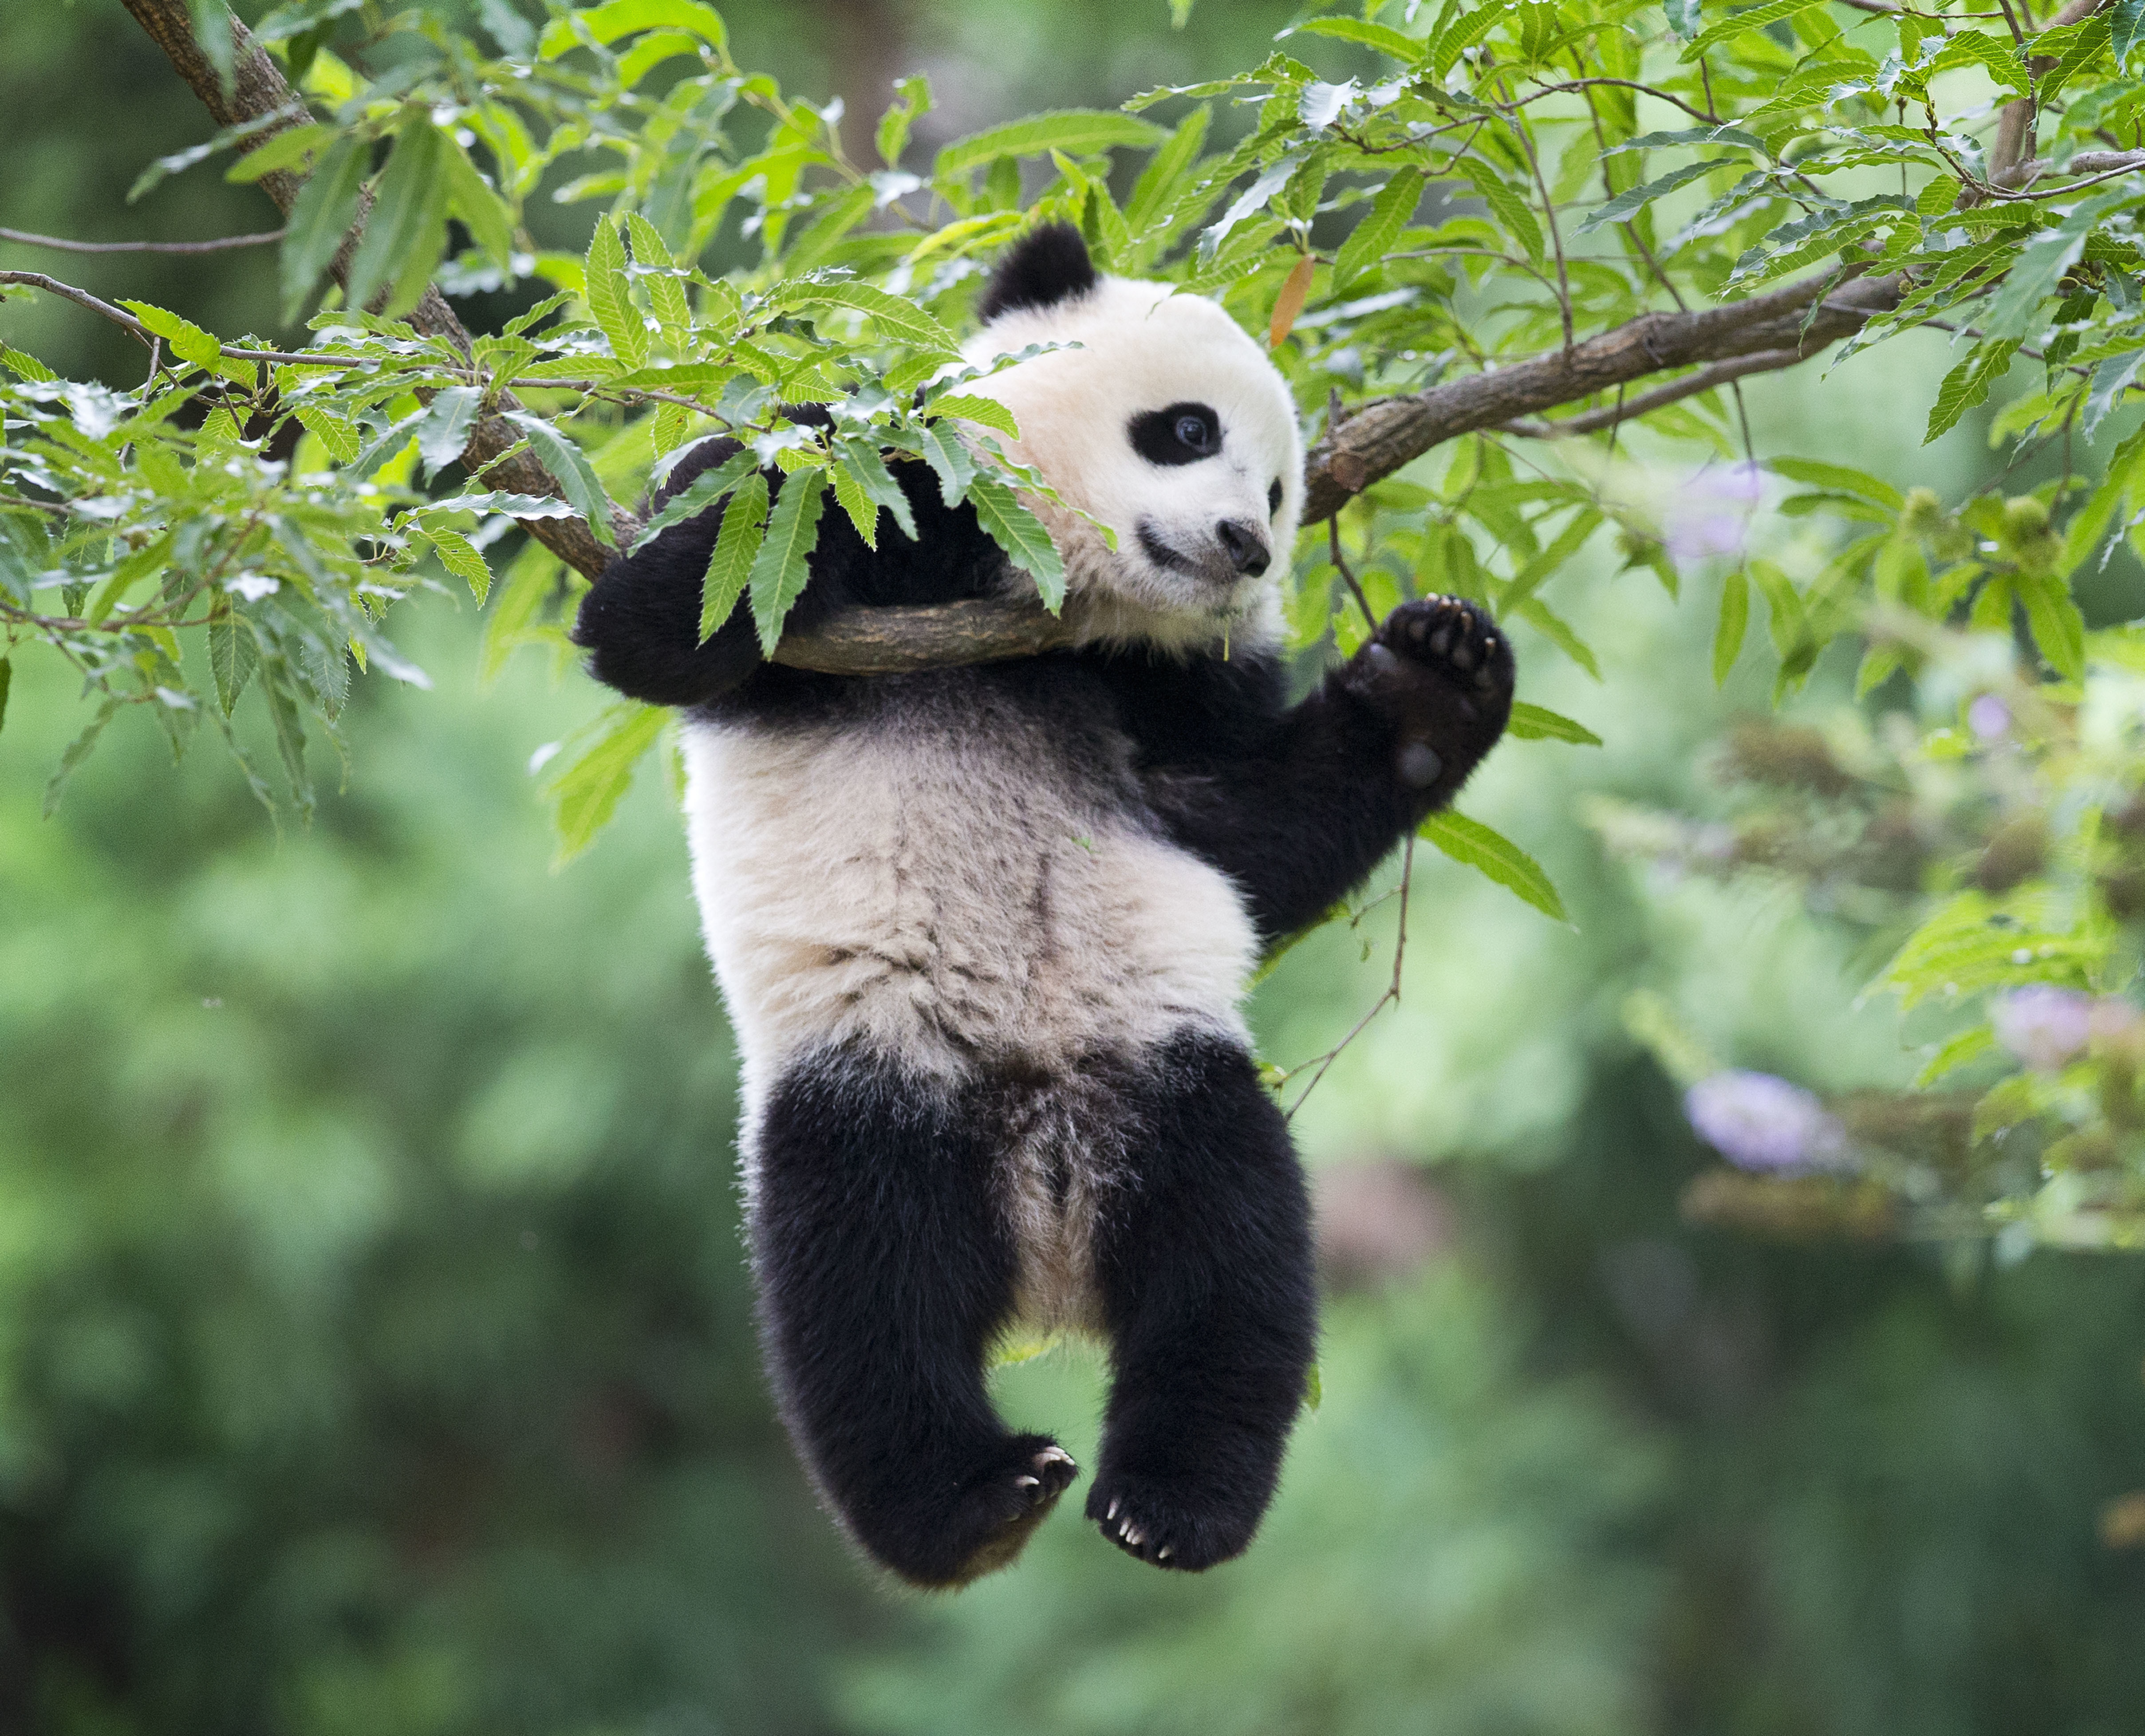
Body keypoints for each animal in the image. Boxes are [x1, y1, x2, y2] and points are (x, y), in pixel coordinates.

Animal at [572, 224, 1514, 1588]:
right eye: (1184, 429)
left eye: (1286, 494)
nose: (1243, 544)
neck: (1064, 612)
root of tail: (1045, 1241)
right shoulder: (870, 530)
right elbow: (677, 612)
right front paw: (792, 494)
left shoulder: (1171, 690)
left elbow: (1248, 838)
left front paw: (1436, 678)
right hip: (879, 1083)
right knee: (861, 1292)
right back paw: (970, 1504)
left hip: (1163, 1080)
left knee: (1234, 1269)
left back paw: (1171, 1505)